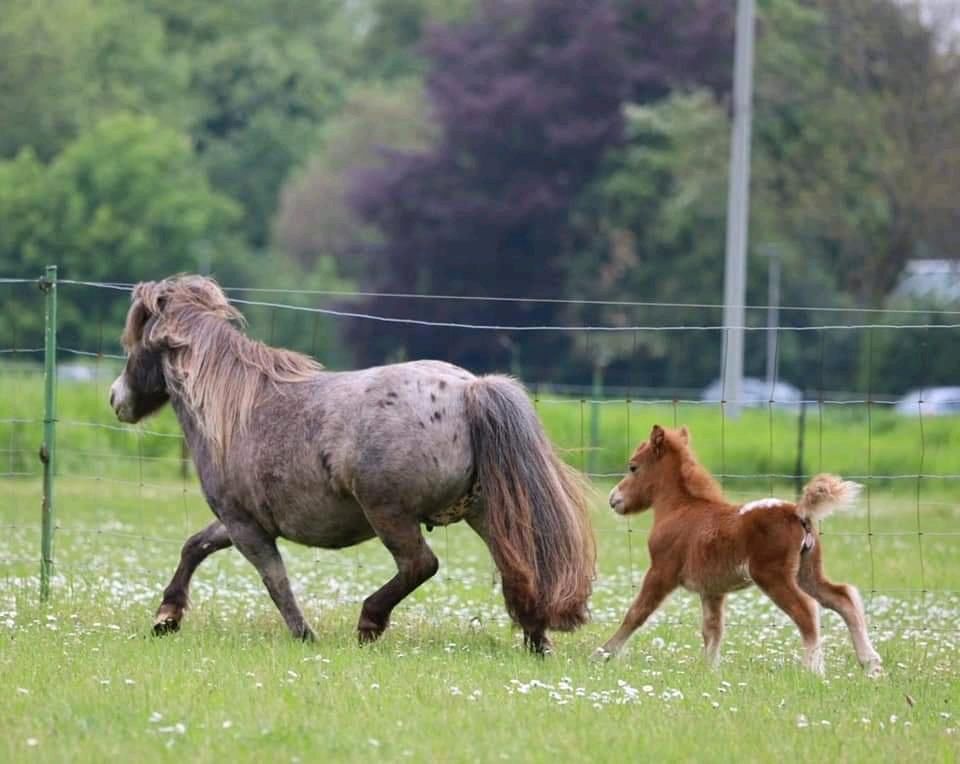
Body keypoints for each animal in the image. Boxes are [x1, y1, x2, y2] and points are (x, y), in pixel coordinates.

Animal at [596, 426, 880, 676]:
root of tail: (798, 512)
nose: (612, 499)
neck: (680, 509)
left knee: (807, 609)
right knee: (843, 597)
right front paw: (709, 670)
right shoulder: (712, 589)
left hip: (773, 575)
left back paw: (813, 669)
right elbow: (712, 629)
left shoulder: (662, 571)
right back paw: (871, 665)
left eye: (633, 467)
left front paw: (603, 653)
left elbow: (636, 613)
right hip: (808, 572)